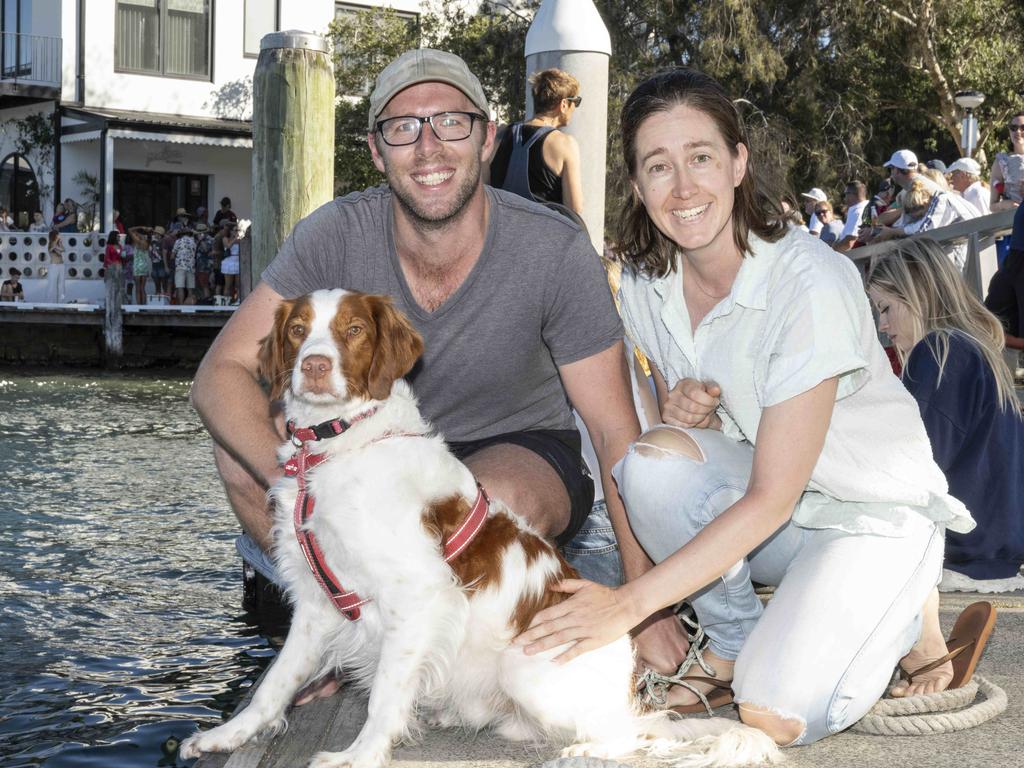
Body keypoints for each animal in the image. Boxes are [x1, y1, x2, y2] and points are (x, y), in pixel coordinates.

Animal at [180, 288, 778, 768]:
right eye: (299, 330)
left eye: (353, 330)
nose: (315, 366)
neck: (342, 447)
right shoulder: (318, 601)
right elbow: (275, 684)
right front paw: (226, 736)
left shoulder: (418, 596)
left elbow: (384, 695)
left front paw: (359, 756)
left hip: (524, 666)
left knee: (629, 735)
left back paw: (583, 749)